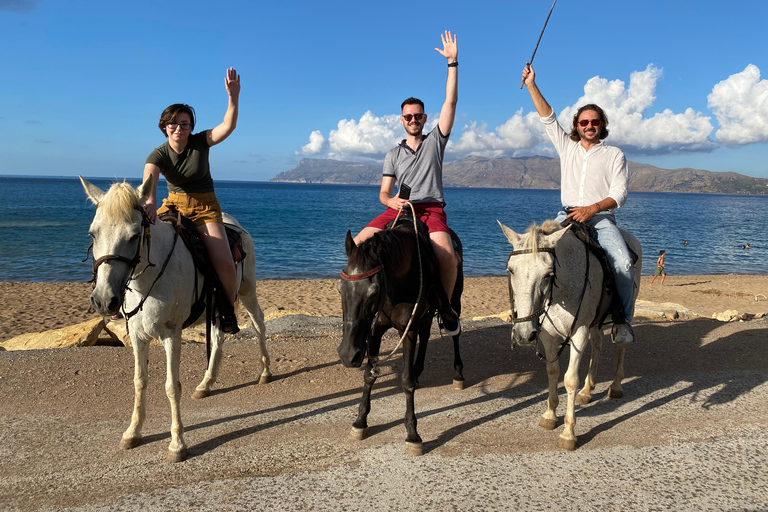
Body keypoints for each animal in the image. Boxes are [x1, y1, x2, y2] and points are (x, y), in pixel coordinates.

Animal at [80, 174, 272, 462]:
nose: (103, 300)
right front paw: (133, 432)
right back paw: (206, 383)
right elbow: (140, 381)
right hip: (217, 307)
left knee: (259, 323)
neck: (149, 279)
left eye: (135, 235)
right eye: (94, 233)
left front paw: (177, 444)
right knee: (218, 337)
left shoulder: (172, 335)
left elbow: (172, 386)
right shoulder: (137, 337)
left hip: (247, 290)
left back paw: (265, 371)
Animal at [340, 216, 464, 456]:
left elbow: (405, 381)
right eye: (340, 289)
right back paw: (418, 371)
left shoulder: (407, 330)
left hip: (454, 299)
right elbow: (369, 375)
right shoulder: (375, 330)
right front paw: (360, 421)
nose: (348, 355)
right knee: (425, 335)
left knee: (455, 333)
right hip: (425, 315)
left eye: (373, 292)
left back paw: (458, 373)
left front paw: (412, 434)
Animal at [498, 218, 640, 450]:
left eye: (548, 274)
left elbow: (570, 380)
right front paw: (549, 415)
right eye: (510, 270)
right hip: (595, 322)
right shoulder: (547, 335)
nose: (524, 334)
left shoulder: (578, 334)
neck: (560, 293)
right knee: (598, 343)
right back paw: (587, 390)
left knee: (620, 346)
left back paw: (616, 385)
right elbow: (552, 371)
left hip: (627, 309)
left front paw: (568, 433)